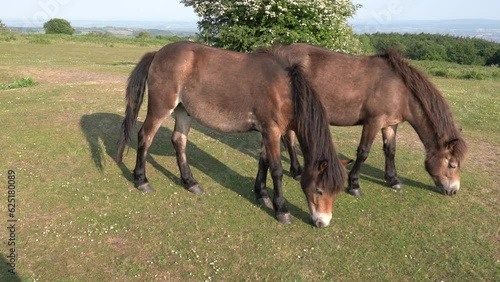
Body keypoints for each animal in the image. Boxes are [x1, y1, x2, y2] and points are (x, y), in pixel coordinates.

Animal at [115, 41, 346, 227]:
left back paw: (190, 182)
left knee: (179, 141)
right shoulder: (272, 131)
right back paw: (142, 181)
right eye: (319, 190)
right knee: (145, 137)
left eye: (336, 191)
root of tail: (157, 53)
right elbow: (276, 169)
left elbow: (263, 161)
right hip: (161, 108)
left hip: (183, 111)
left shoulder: (266, 132)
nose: (323, 222)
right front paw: (282, 210)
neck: (283, 89)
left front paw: (261, 194)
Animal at [272, 44, 466, 196]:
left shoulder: (390, 124)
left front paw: (393, 180)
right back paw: (297, 172)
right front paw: (354, 184)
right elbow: (364, 152)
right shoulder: (373, 122)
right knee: (289, 138)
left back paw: (296, 170)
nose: (453, 190)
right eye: (452, 165)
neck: (399, 90)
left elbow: (390, 150)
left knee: (289, 139)